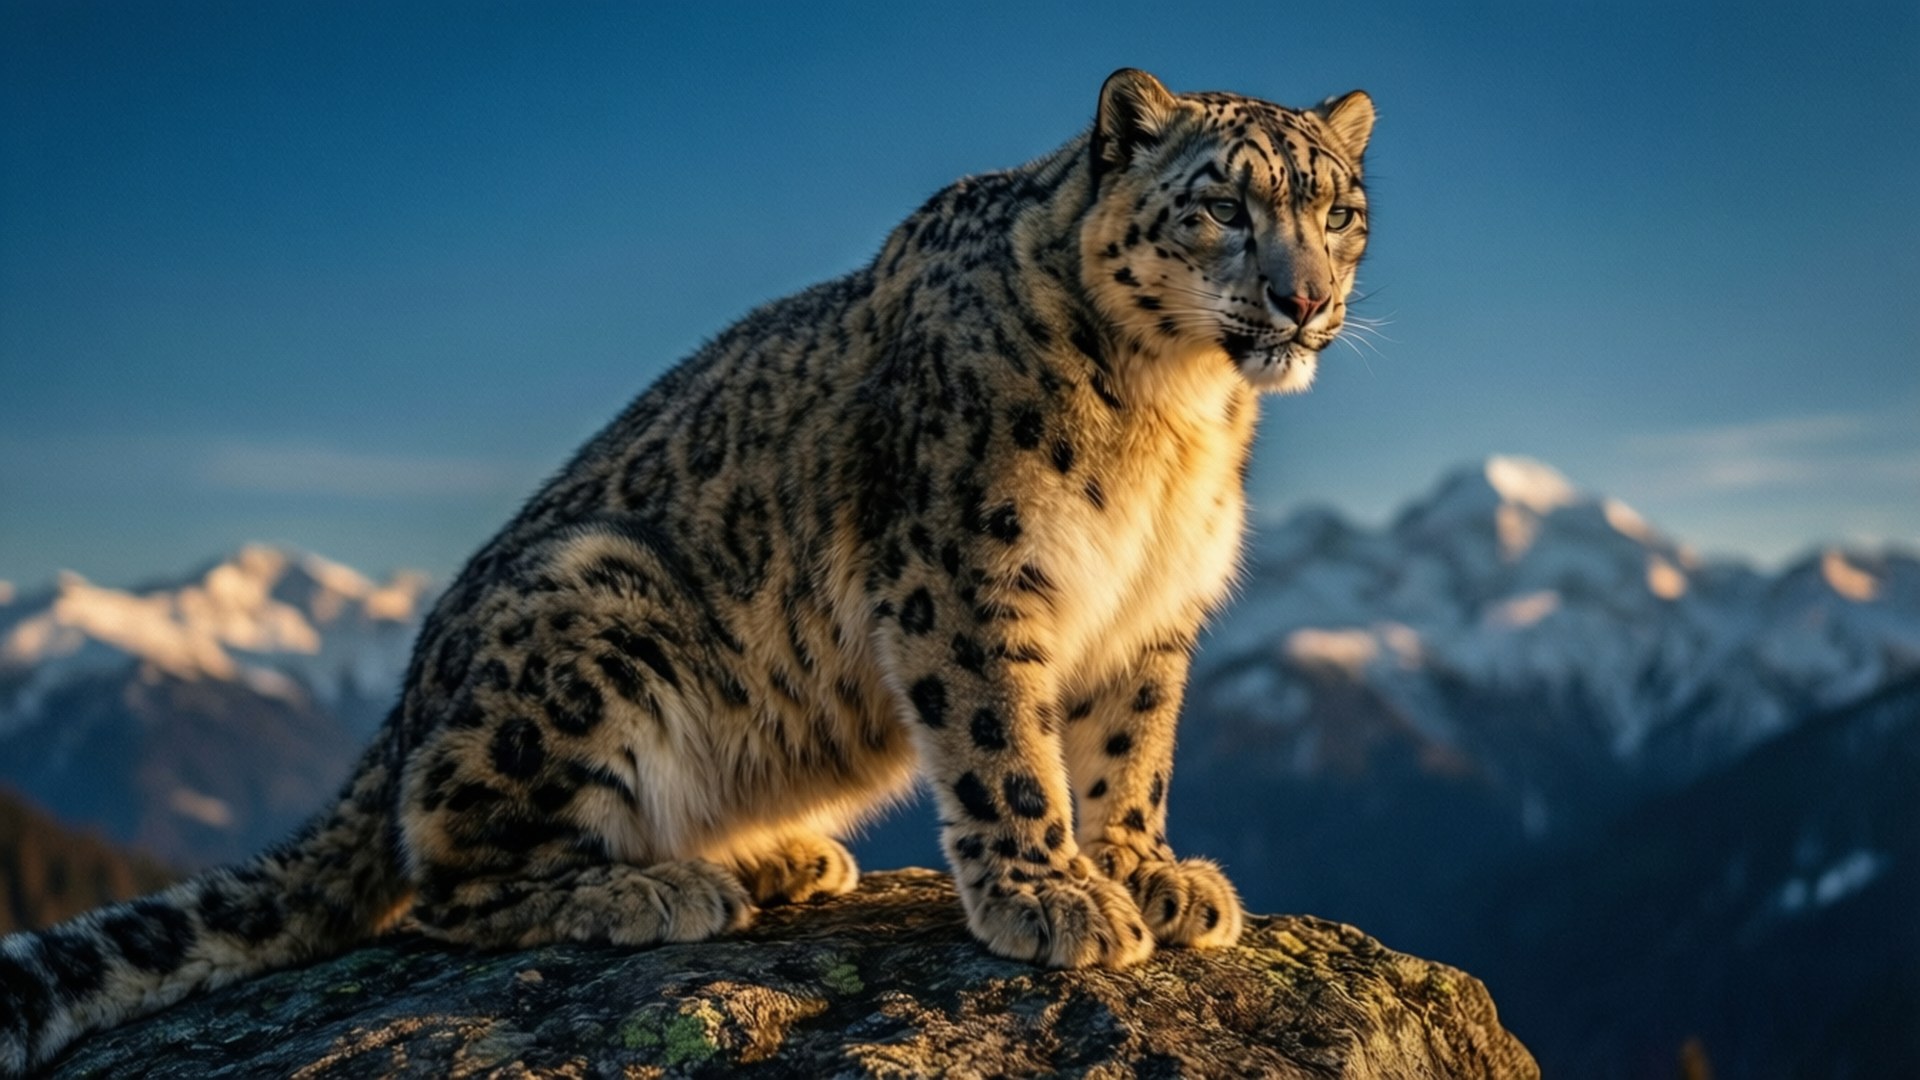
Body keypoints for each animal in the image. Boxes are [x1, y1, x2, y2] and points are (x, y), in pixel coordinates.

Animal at [0, 68, 1373, 1074]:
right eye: (1224, 207)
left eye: (1338, 212)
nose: (1304, 302)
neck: (1176, 416)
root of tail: (401, 709)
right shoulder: (968, 572)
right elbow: (1005, 747)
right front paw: (1054, 896)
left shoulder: (1151, 613)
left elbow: (1129, 753)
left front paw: (1145, 871)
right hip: (591, 606)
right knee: (443, 873)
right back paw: (658, 890)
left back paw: (773, 859)